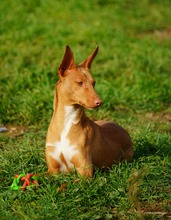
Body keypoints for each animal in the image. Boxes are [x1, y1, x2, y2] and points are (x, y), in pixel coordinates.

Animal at [45, 46, 132, 177]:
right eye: (80, 82)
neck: (65, 123)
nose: (99, 102)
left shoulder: (85, 172)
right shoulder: (52, 170)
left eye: (93, 83)